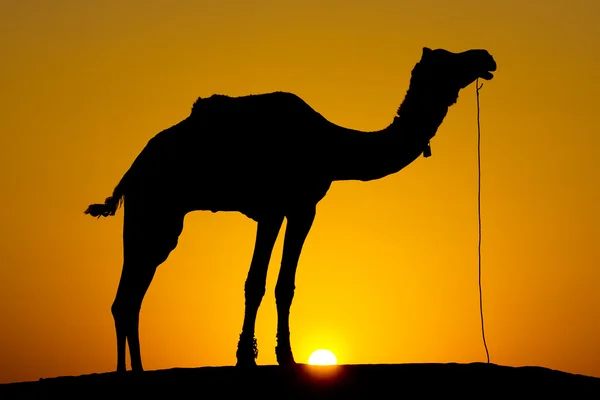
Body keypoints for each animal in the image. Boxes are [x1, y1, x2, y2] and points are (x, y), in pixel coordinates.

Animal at [84, 48, 496, 374]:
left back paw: (135, 370)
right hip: (153, 208)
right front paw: (247, 357)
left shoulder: (301, 208)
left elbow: (285, 285)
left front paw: (286, 356)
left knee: (128, 299)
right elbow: (255, 283)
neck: (332, 146)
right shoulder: (273, 207)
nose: (485, 57)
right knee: (127, 297)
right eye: (448, 59)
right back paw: (127, 372)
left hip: (160, 218)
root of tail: (132, 170)